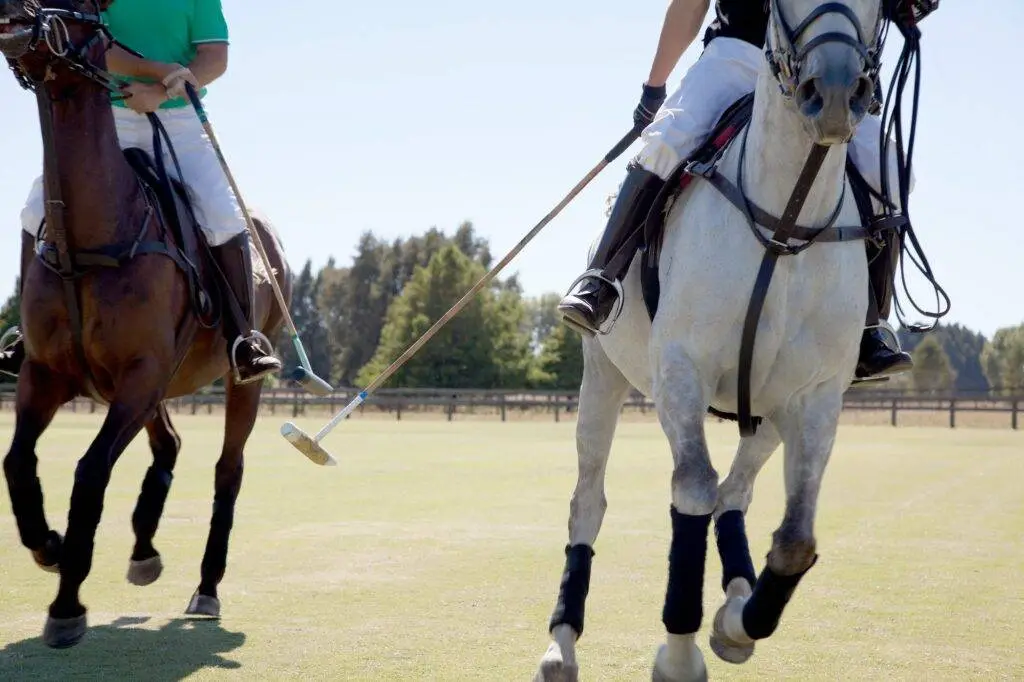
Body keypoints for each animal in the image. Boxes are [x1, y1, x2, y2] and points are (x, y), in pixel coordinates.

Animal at [0, 1, 292, 647]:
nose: (11, 19)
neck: (90, 238)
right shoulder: (46, 372)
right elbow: (17, 462)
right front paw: (49, 546)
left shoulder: (140, 372)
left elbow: (89, 474)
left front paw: (66, 605)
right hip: (152, 384)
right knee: (169, 445)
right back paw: (143, 551)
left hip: (237, 379)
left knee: (227, 470)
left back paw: (206, 587)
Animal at [536, 0, 913, 675]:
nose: (834, 95)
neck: (786, 219)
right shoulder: (679, 371)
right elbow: (690, 490)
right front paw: (679, 654)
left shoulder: (817, 395)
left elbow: (795, 540)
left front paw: (736, 623)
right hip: (602, 374)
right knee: (590, 500)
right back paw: (561, 646)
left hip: (765, 409)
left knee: (735, 493)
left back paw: (737, 600)